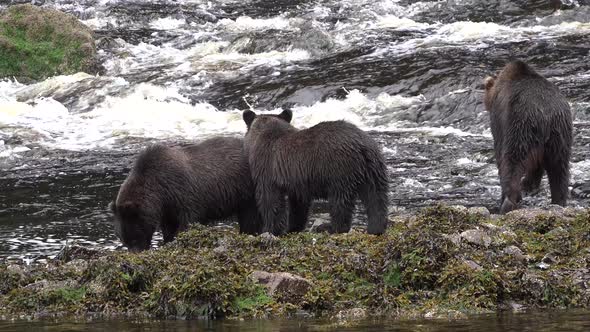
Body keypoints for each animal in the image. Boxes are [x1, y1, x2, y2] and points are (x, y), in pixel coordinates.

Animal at [486, 60, 572, 214]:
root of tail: (546, 115)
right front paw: (529, 184)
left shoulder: (500, 120)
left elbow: (500, 153)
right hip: (560, 135)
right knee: (559, 168)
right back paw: (559, 200)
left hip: (520, 126)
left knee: (512, 162)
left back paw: (508, 202)